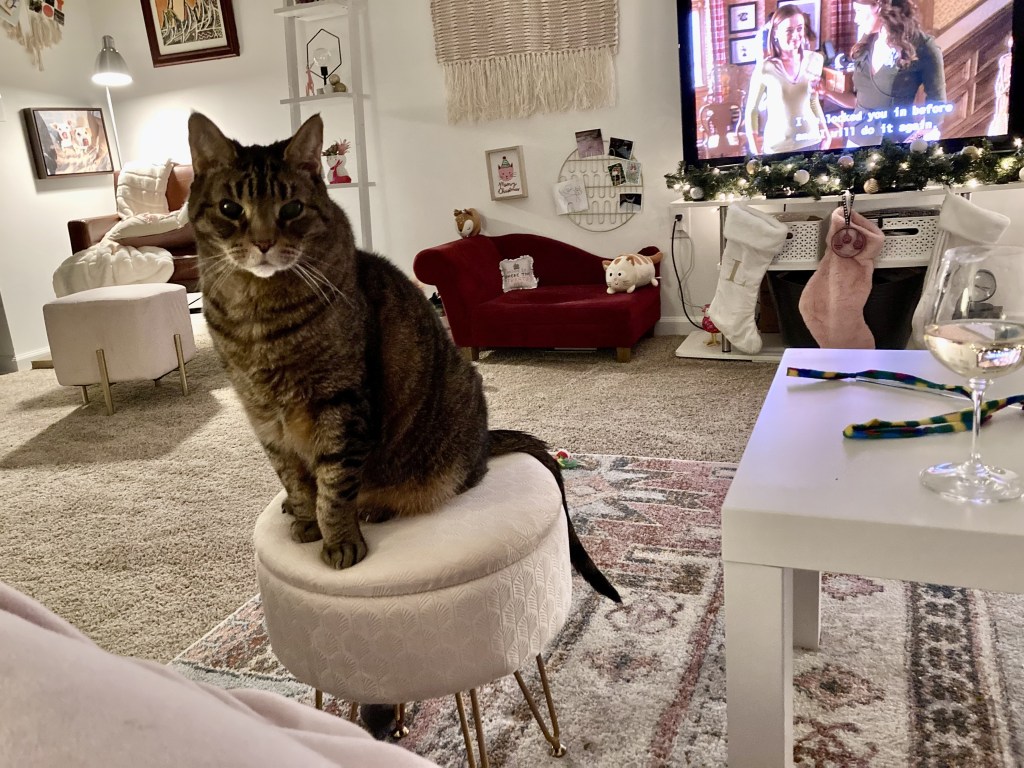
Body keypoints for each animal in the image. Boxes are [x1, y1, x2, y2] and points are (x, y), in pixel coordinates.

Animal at [186, 112, 621, 604]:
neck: (256, 314)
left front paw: (338, 540)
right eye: (230, 209)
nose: (262, 243)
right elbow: (293, 480)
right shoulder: (263, 416)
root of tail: (485, 439)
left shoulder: (341, 404)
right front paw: (302, 518)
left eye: (292, 209)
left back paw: (377, 507)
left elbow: (334, 486)